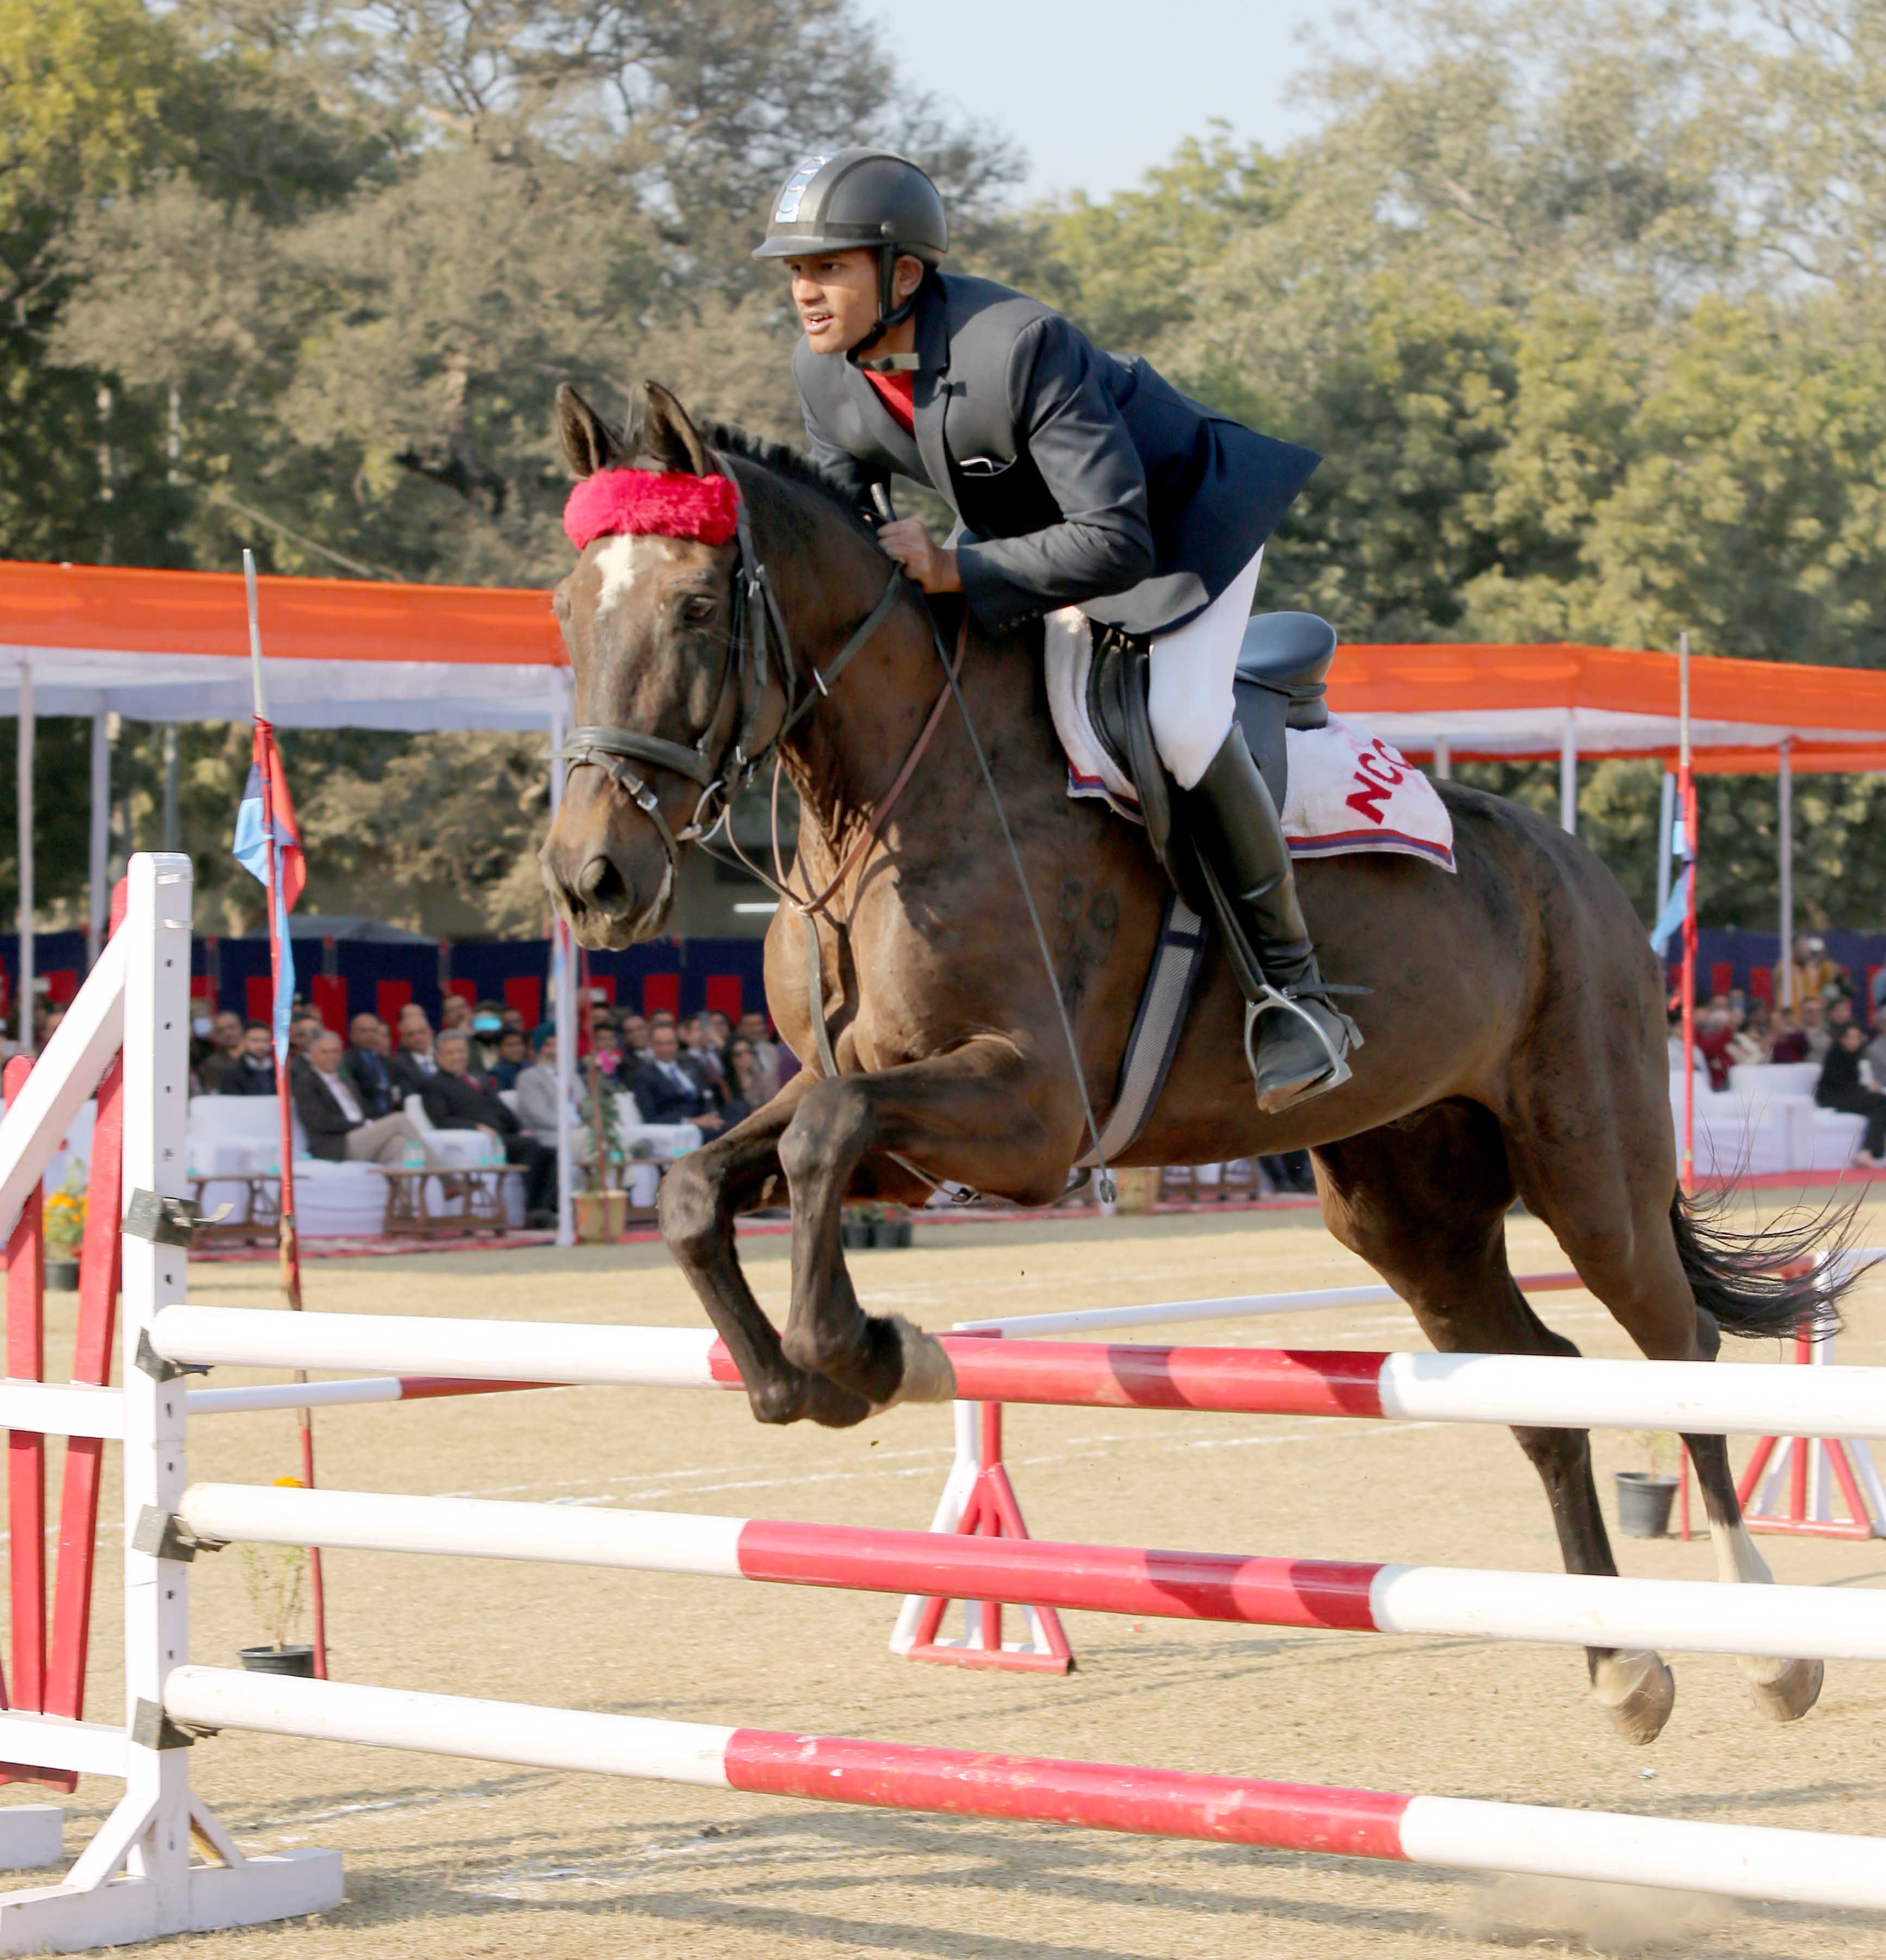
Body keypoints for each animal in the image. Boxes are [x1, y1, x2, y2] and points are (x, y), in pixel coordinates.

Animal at [540, 378, 1849, 1746]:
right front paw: (800, 1378)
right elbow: (713, 1178)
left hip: (1589, 1170)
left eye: (697, 606)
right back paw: (1622, 1664)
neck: (887, 795)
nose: (593, 879)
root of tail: (1578, 868)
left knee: (1682, 1347)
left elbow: (819, 1136)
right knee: (1539, 1381)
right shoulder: (888, 1097)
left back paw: (1771, 1650)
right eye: (566, 609)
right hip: (1409, 1205)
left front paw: (871, 1355)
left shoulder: (1030, 1112)